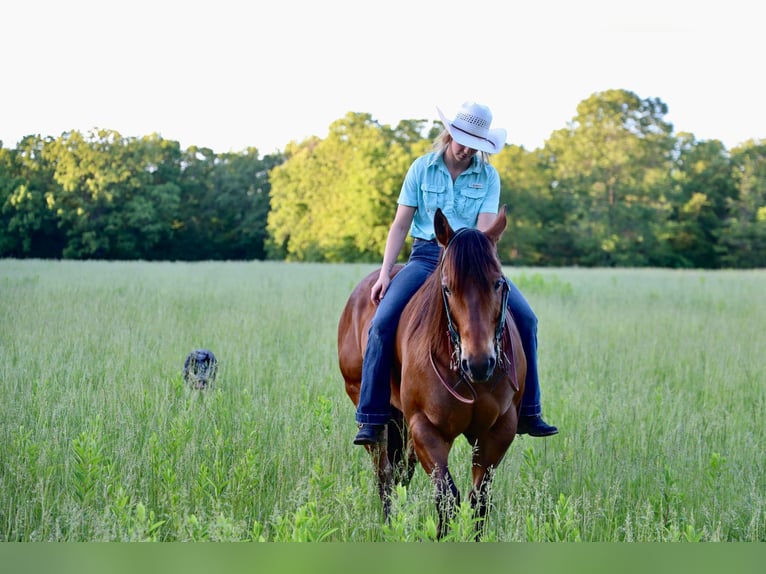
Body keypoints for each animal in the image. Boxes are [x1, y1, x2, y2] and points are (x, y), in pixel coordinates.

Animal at [340, 208, 524, 540]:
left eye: (498, 283)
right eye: (447, 287)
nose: (479, 363)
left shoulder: (498, 432)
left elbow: (479, 501)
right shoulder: (427, 430)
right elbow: (447, 497)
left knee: (402, 473)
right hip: (372, 412)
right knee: (385, 474)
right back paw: (389, 526)